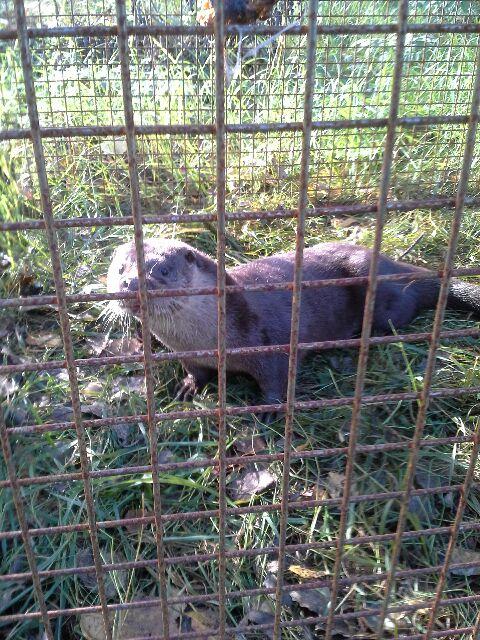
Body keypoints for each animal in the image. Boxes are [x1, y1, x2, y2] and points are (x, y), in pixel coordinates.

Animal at [106, 238, 480, 408]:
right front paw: (188, 386)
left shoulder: (271, 343)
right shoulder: (188, 354)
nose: (129, 284)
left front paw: (270, 407)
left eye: (163, 270)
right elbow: (196, 373)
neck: (206, 340)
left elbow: (278, 376)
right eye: (119, 269)